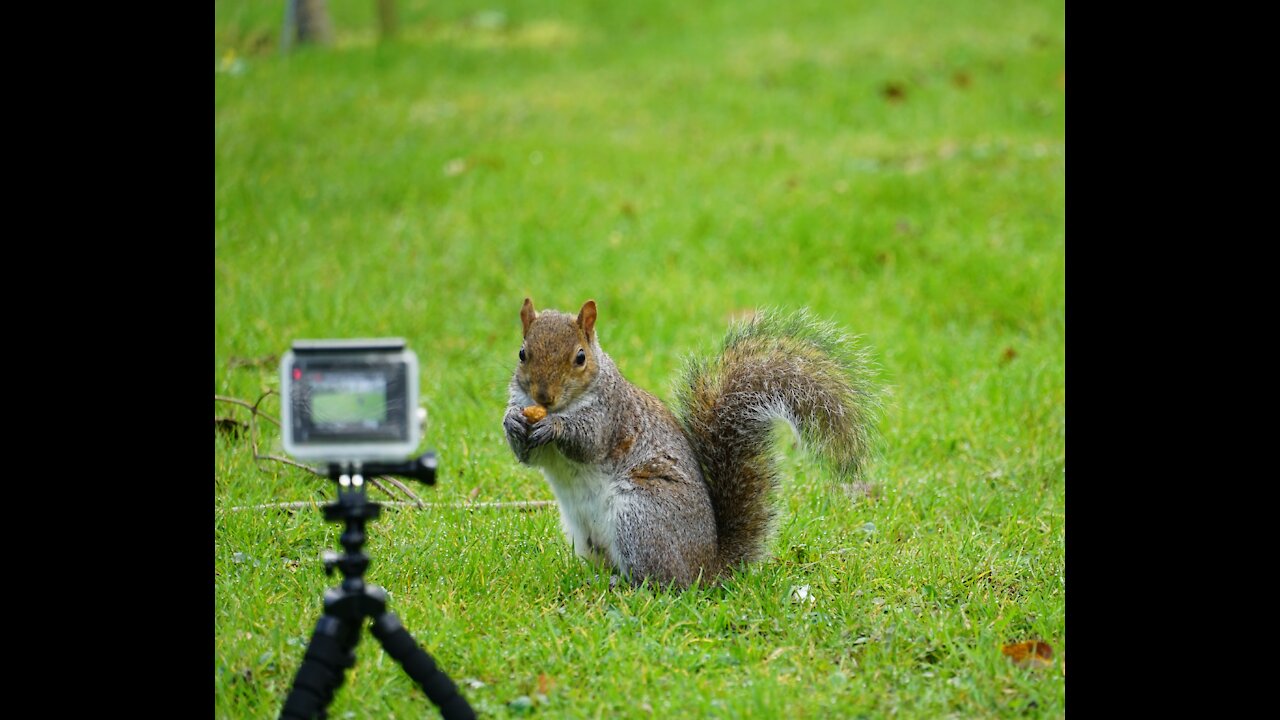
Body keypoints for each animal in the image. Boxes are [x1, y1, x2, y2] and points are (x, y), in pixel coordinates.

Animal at [501, 298, 880, 589]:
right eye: (521, 353)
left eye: (580, 357)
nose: (543, 397)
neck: (566, 403)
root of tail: (706, 567)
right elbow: (527, 456)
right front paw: (513, 422)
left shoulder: (611, 416)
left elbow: (587, 440)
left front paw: (554, 426)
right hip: (584, 532)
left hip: (641, 516)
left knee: (664, 582)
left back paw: (625, 585)